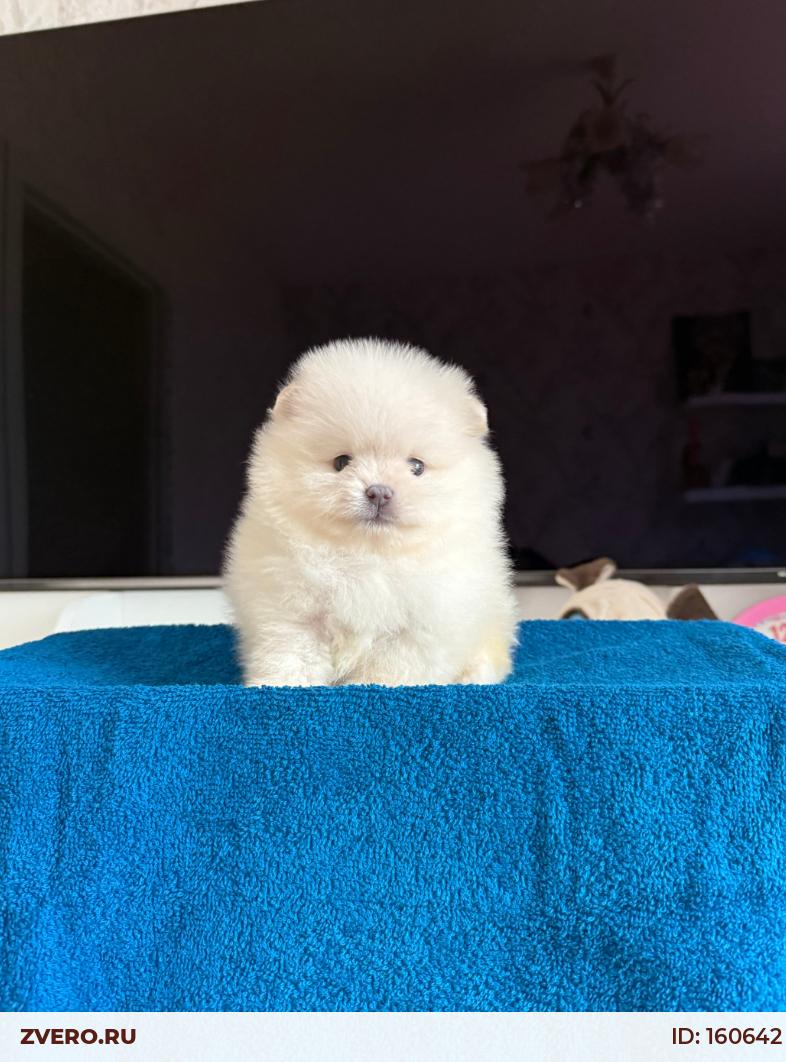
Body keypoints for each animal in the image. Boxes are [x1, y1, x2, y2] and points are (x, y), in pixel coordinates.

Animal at [224, 338, 518, 686]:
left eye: (417, 467)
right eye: (341, 462)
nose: (378, 491)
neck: (368, 555)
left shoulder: (417, 628)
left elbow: (389, 669)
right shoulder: (290, 612)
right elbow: (291, 656)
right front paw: (279, 686)